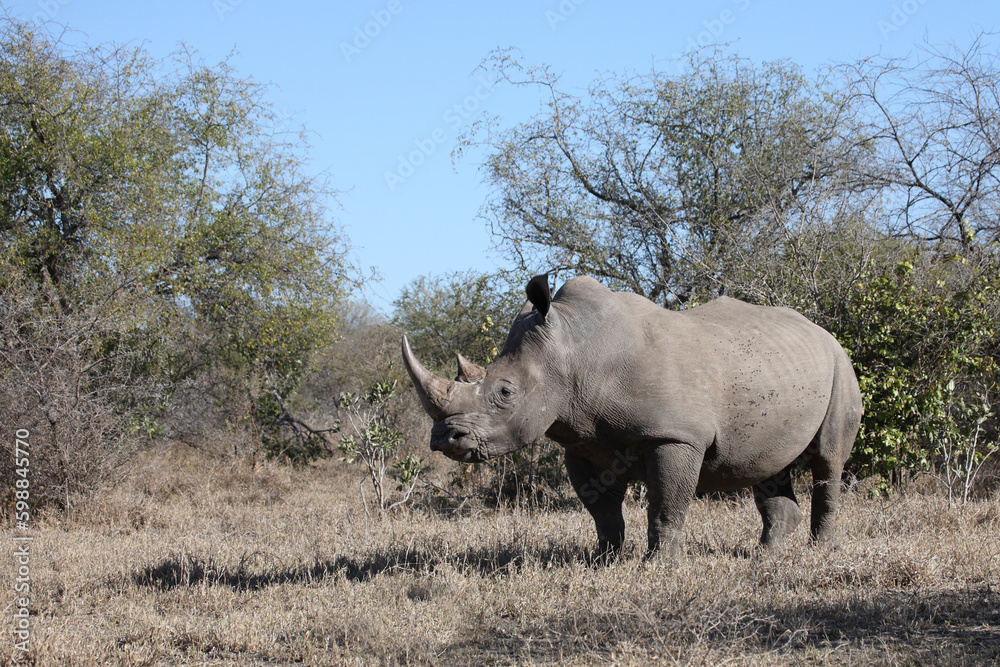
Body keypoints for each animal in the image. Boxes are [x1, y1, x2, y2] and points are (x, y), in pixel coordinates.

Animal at [402, 275, 863, 559]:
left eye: (504, 392)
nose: (443, 438)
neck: (573, 351)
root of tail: (822, 332)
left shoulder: (675, 435)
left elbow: (665, 505)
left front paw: (660, 566)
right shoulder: (581, 441)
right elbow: (602, 511)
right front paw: (603, 561)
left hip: (841, 366)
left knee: (827, 460)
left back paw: (819, 551)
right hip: (776, 369)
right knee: (769, 464)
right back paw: (766, 556)